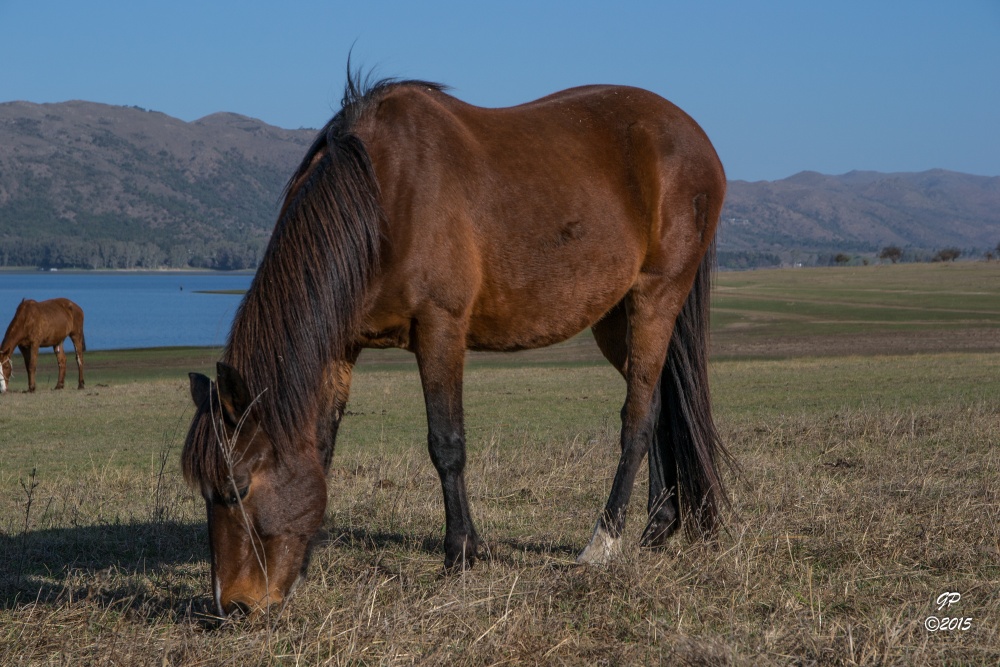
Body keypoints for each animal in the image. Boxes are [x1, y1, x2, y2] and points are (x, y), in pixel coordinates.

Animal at [184, 72, 736, 616]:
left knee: (637, 420)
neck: (384, 197)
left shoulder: (440, 328)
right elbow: (322, 444)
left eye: (236, 488)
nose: (232, 605)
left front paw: (461, 554)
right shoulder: (343, 347)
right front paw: (303, 567)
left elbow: (446, 444)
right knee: (659, 403)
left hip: (655, 298)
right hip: (616, 319)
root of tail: (696, 139)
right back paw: (658, 527)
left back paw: (603, 543)